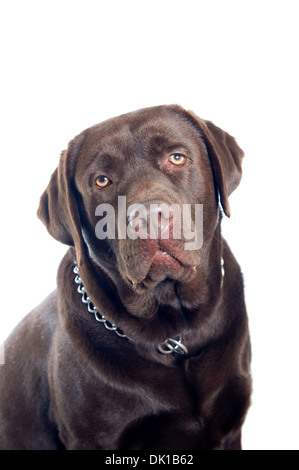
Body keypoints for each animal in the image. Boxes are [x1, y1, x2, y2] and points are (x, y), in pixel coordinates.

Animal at [0, 104, 253, 450]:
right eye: (102, 180)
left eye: (177, 157)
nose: (149, 217)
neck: (177, 331)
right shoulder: (95, 438)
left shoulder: (230, 427)